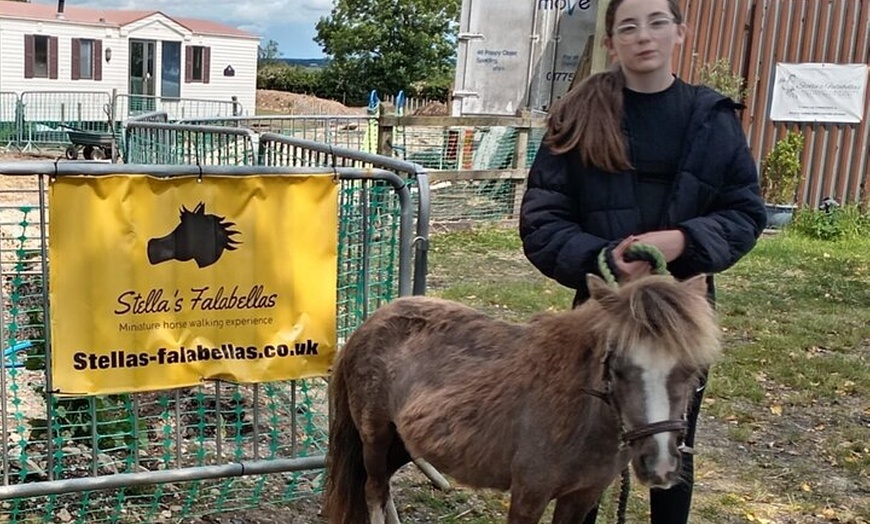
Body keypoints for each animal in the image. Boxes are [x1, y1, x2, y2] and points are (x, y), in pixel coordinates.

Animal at [323, 273, 721, 524]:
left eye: (692, 370)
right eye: (618, 366)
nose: (660, 466)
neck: (579, 416)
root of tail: (371, 321)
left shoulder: (582, 496)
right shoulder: (529, 495)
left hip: (406, 440)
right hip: (375, 436)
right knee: (374, 490)